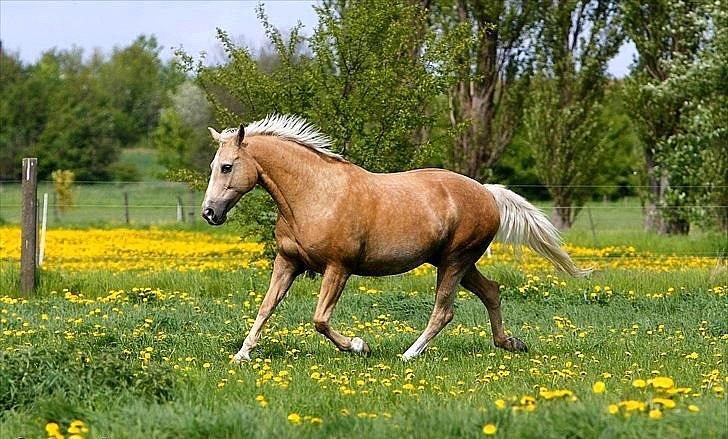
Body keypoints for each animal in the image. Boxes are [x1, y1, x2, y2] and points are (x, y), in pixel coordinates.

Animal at [200, 115, 592, 362]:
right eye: (213, 166)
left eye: (227, 167)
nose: (209, 213)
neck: (314, 194)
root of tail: (487, 192)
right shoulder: (288, 262)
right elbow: (266, 307)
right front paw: (242, 355)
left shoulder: (338, 268)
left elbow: (320, 319)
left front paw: (360, 346)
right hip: (457, 263)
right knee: (492, 292)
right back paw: (511, 343)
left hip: (454, 262)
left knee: (444, 311)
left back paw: (409, 354)